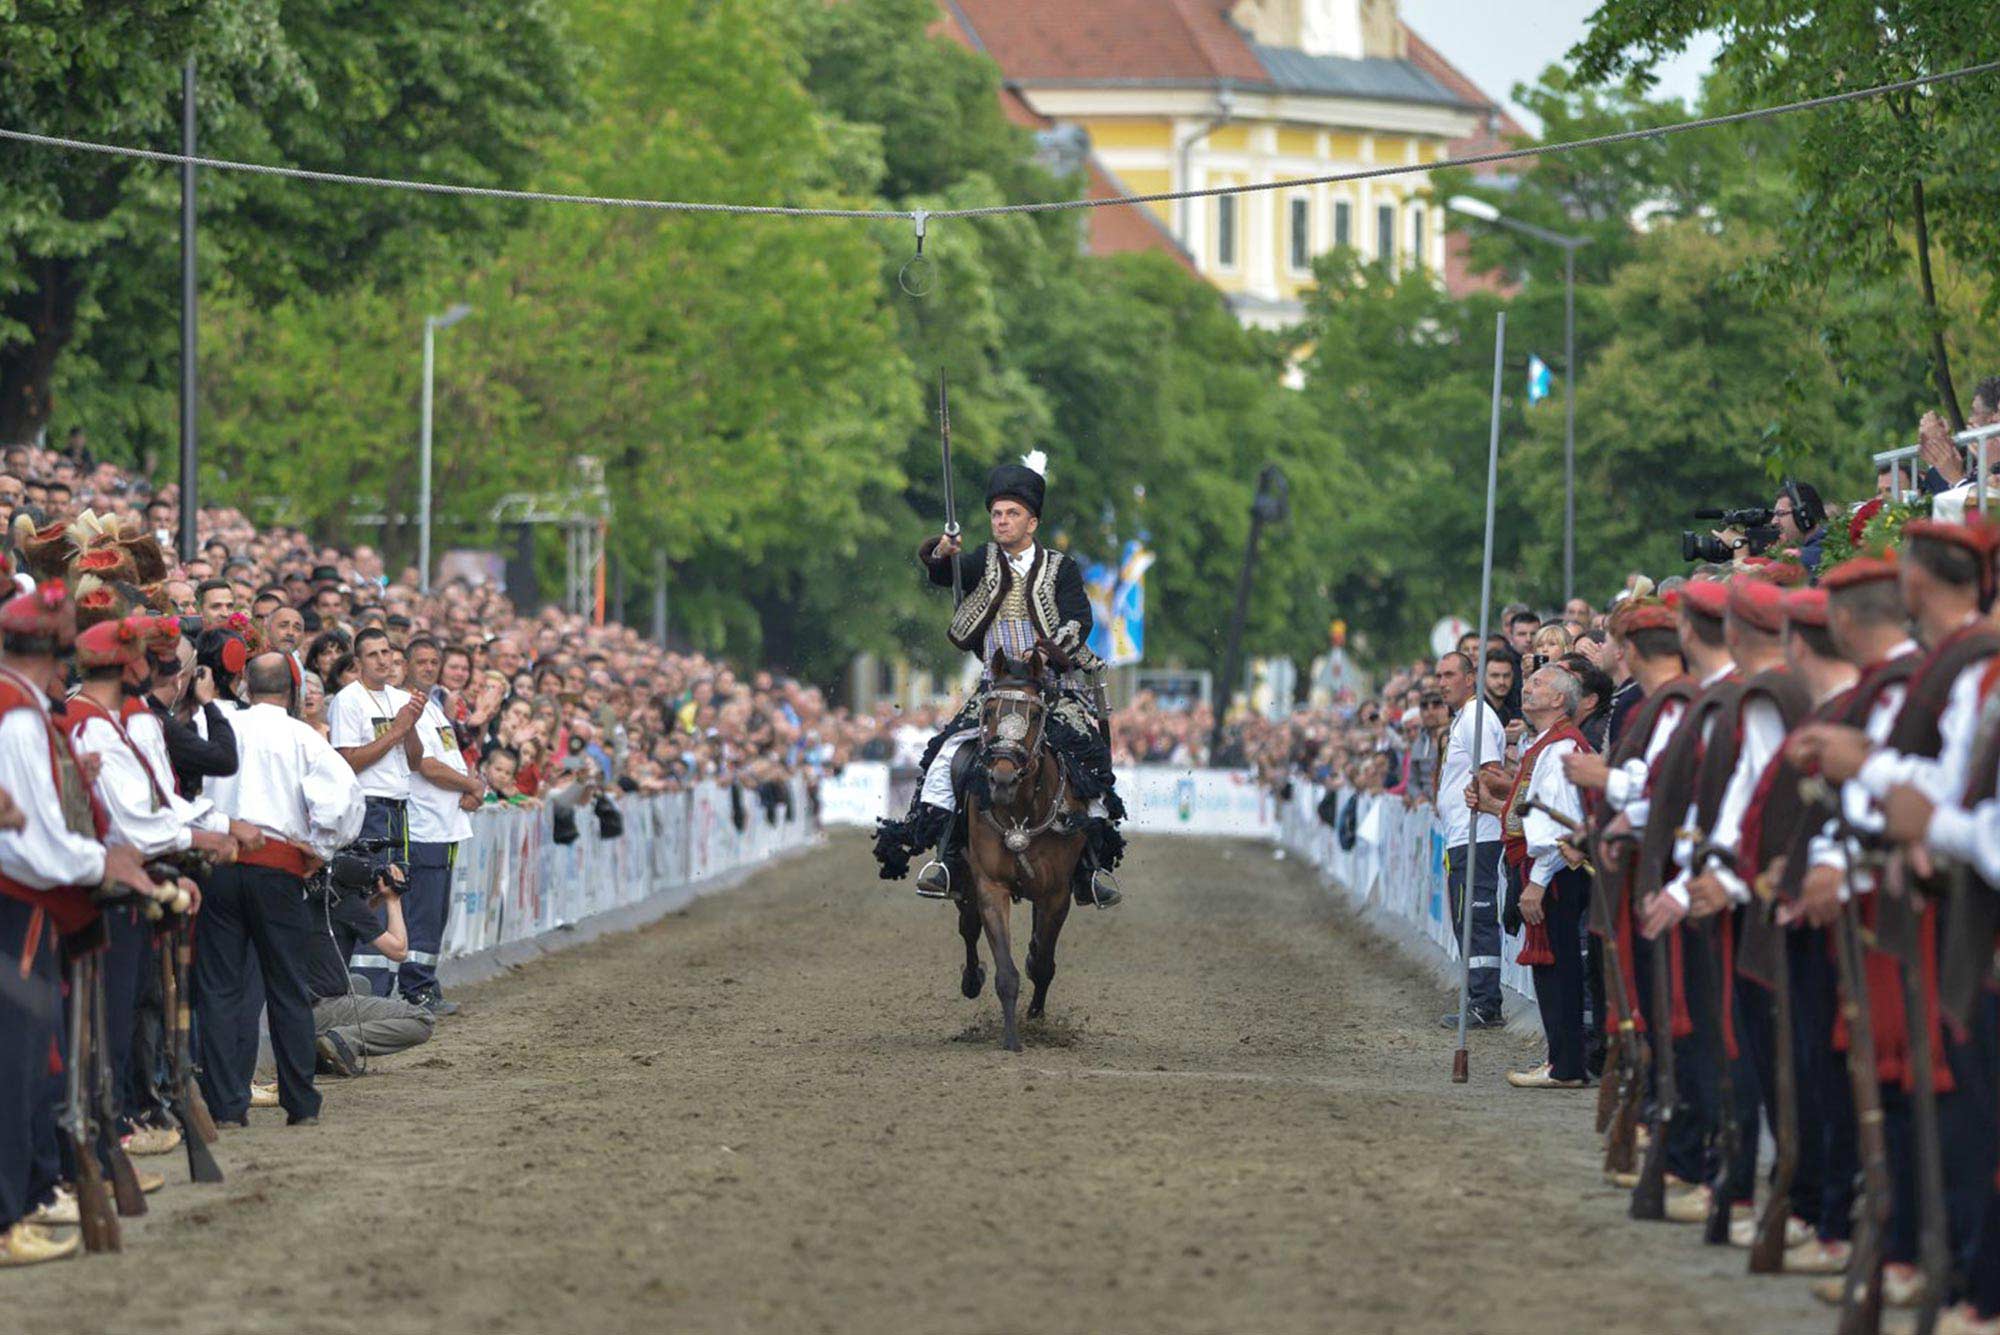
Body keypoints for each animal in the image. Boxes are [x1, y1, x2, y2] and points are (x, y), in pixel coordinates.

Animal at [960, 647, 1088, 1055]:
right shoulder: (990, 887)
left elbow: (1042, 962)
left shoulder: (1056, 893)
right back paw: (971, 979)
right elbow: (1006, 971)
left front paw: (1035, 1020)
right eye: (988, 711)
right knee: (967, 928)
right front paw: (1012, 1039)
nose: (1001, 778)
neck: (1019, 811)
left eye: (1033, 714)